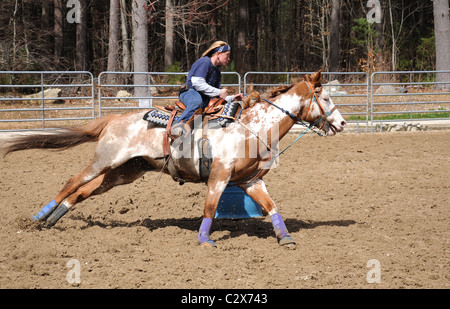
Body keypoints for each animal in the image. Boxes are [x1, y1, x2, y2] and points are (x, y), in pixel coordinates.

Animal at [0, 68, 344, 247]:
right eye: (326, 98)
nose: (341, 124)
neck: (252, 126)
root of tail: (113, 118)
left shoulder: (251, 181)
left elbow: (272, 207)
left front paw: (285, 237)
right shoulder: (219, 176)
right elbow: (209, 207)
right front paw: (204, 240)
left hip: (123, 172)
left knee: (83, 192)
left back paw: (53, 220)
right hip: (104, 161)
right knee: (73, 181)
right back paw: (37, 218)